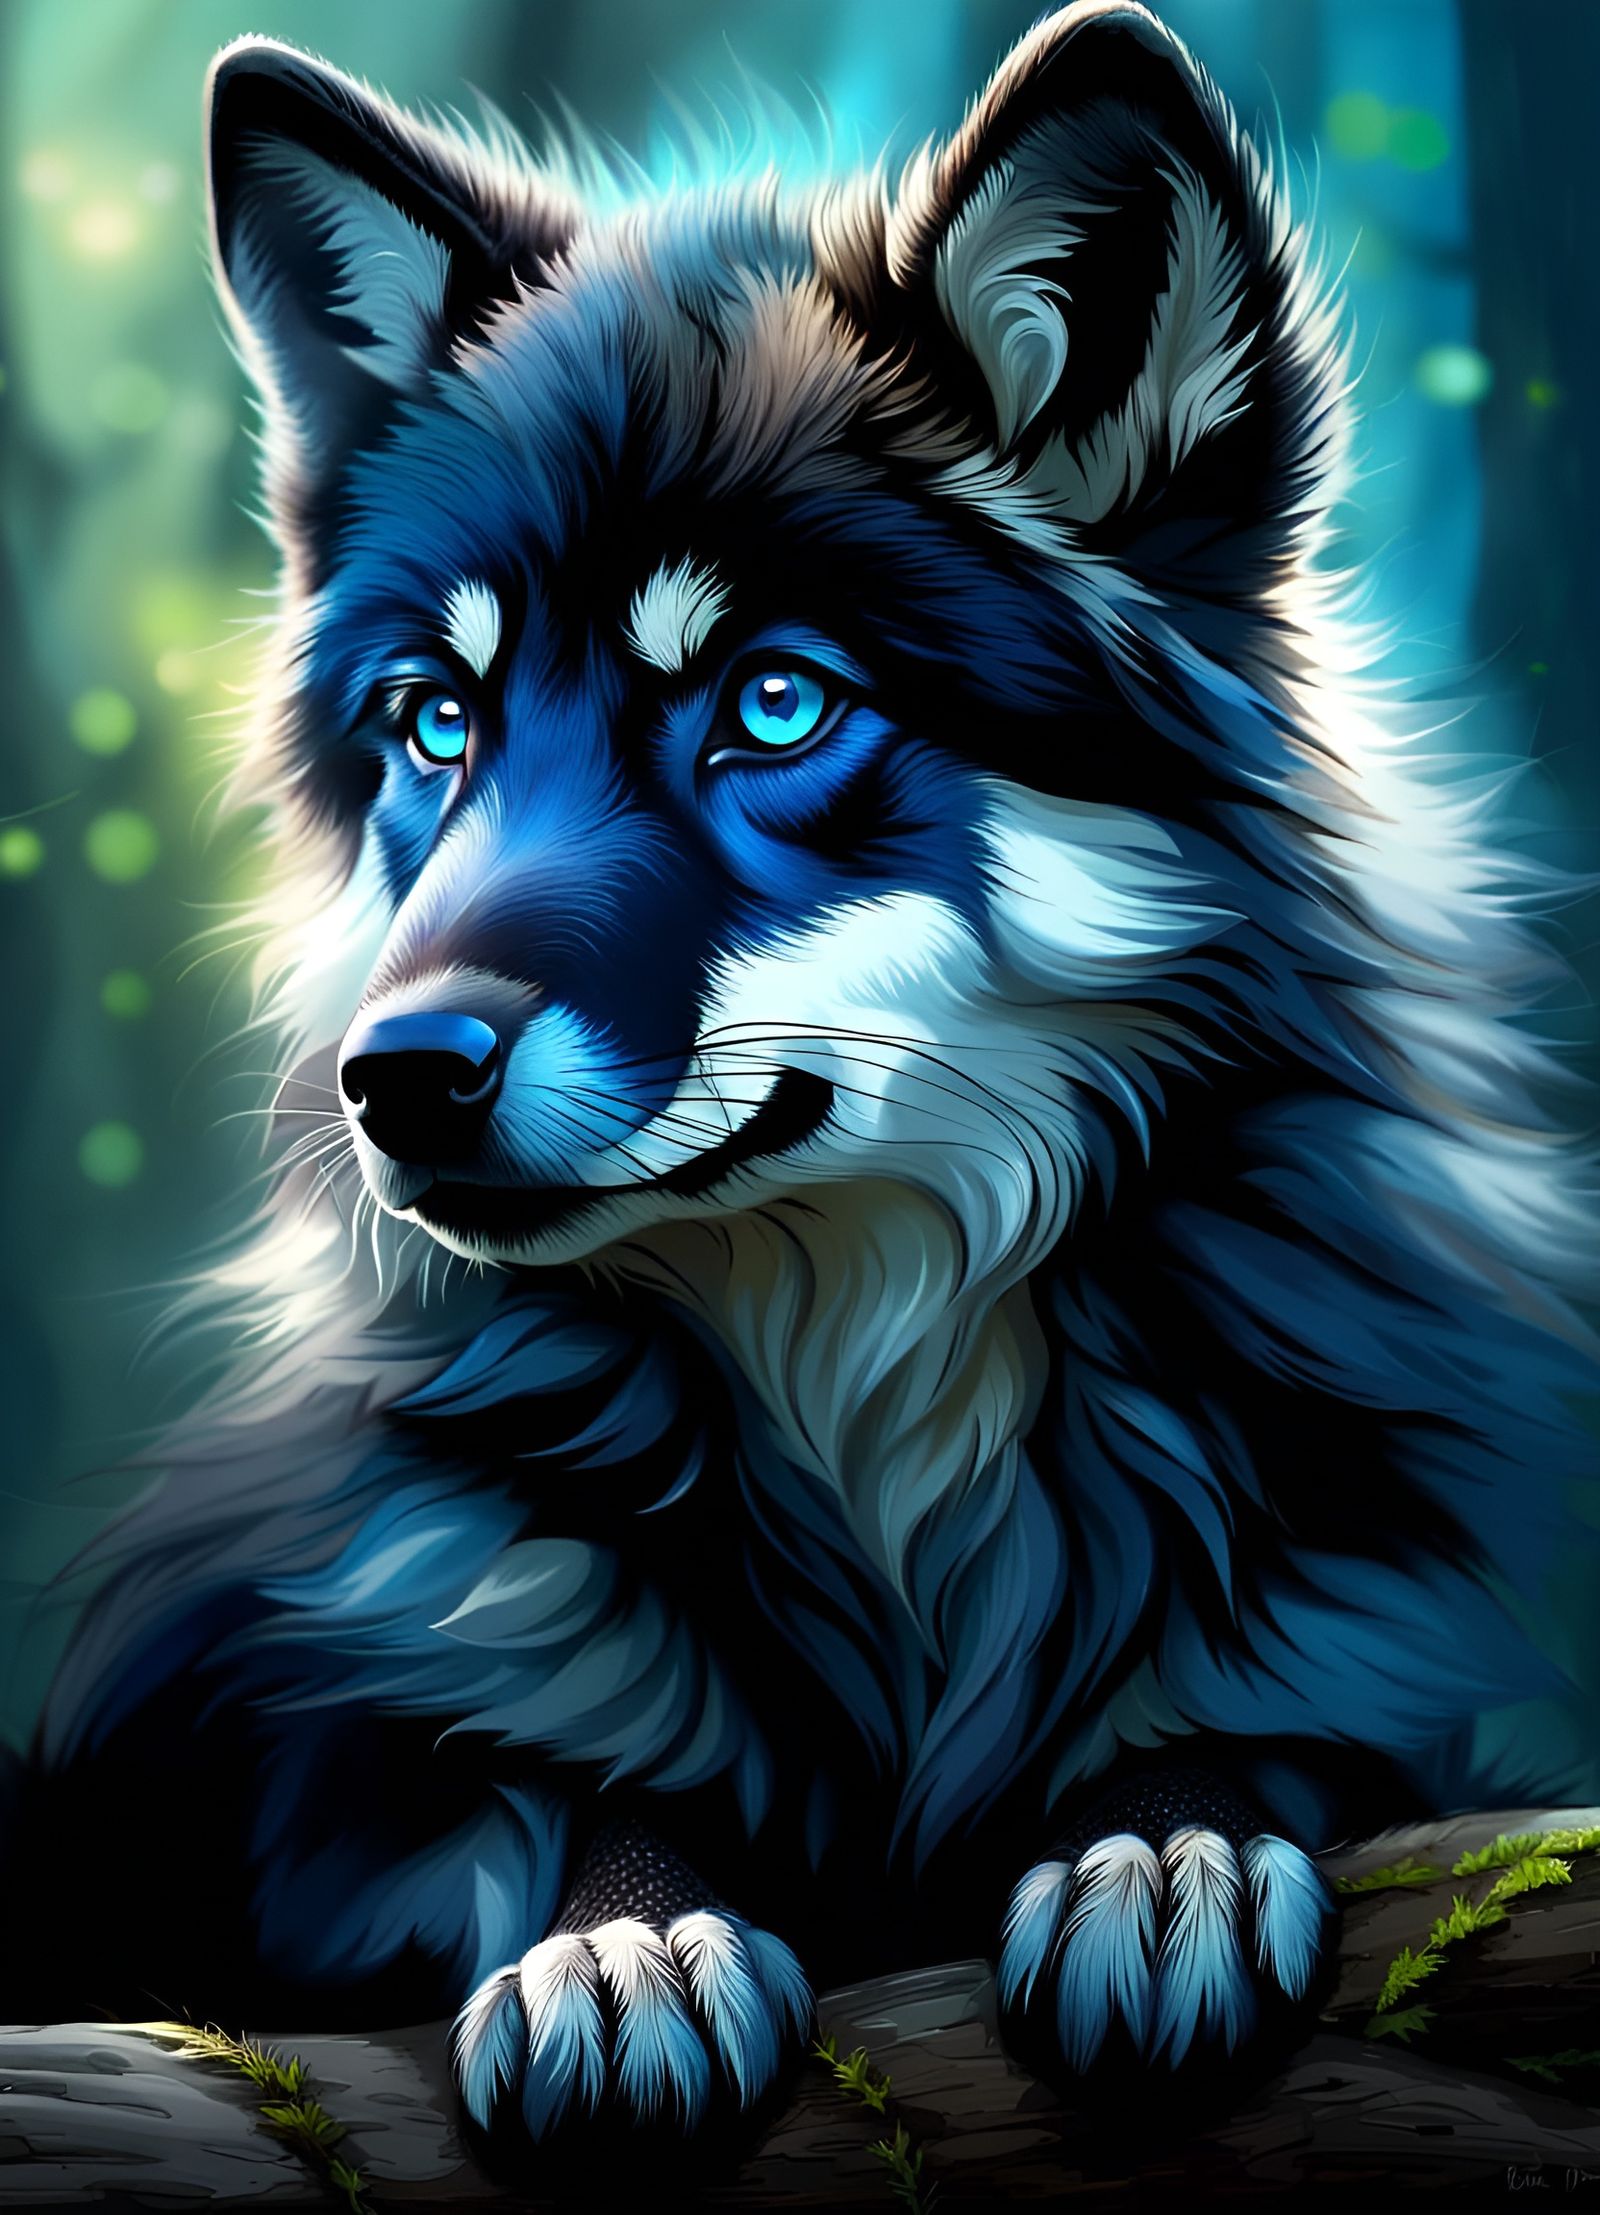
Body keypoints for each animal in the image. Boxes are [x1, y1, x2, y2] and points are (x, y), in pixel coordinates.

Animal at [5, 0, 1594, 2161]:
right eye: (436, 722)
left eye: (772, 702)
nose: (392, 1078)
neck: (876, 1422)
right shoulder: (334, 1772)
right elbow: (550, 1786)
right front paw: (620, 1934)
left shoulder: (1373, 1649)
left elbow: (1261, 1730)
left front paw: (1160, 1841)